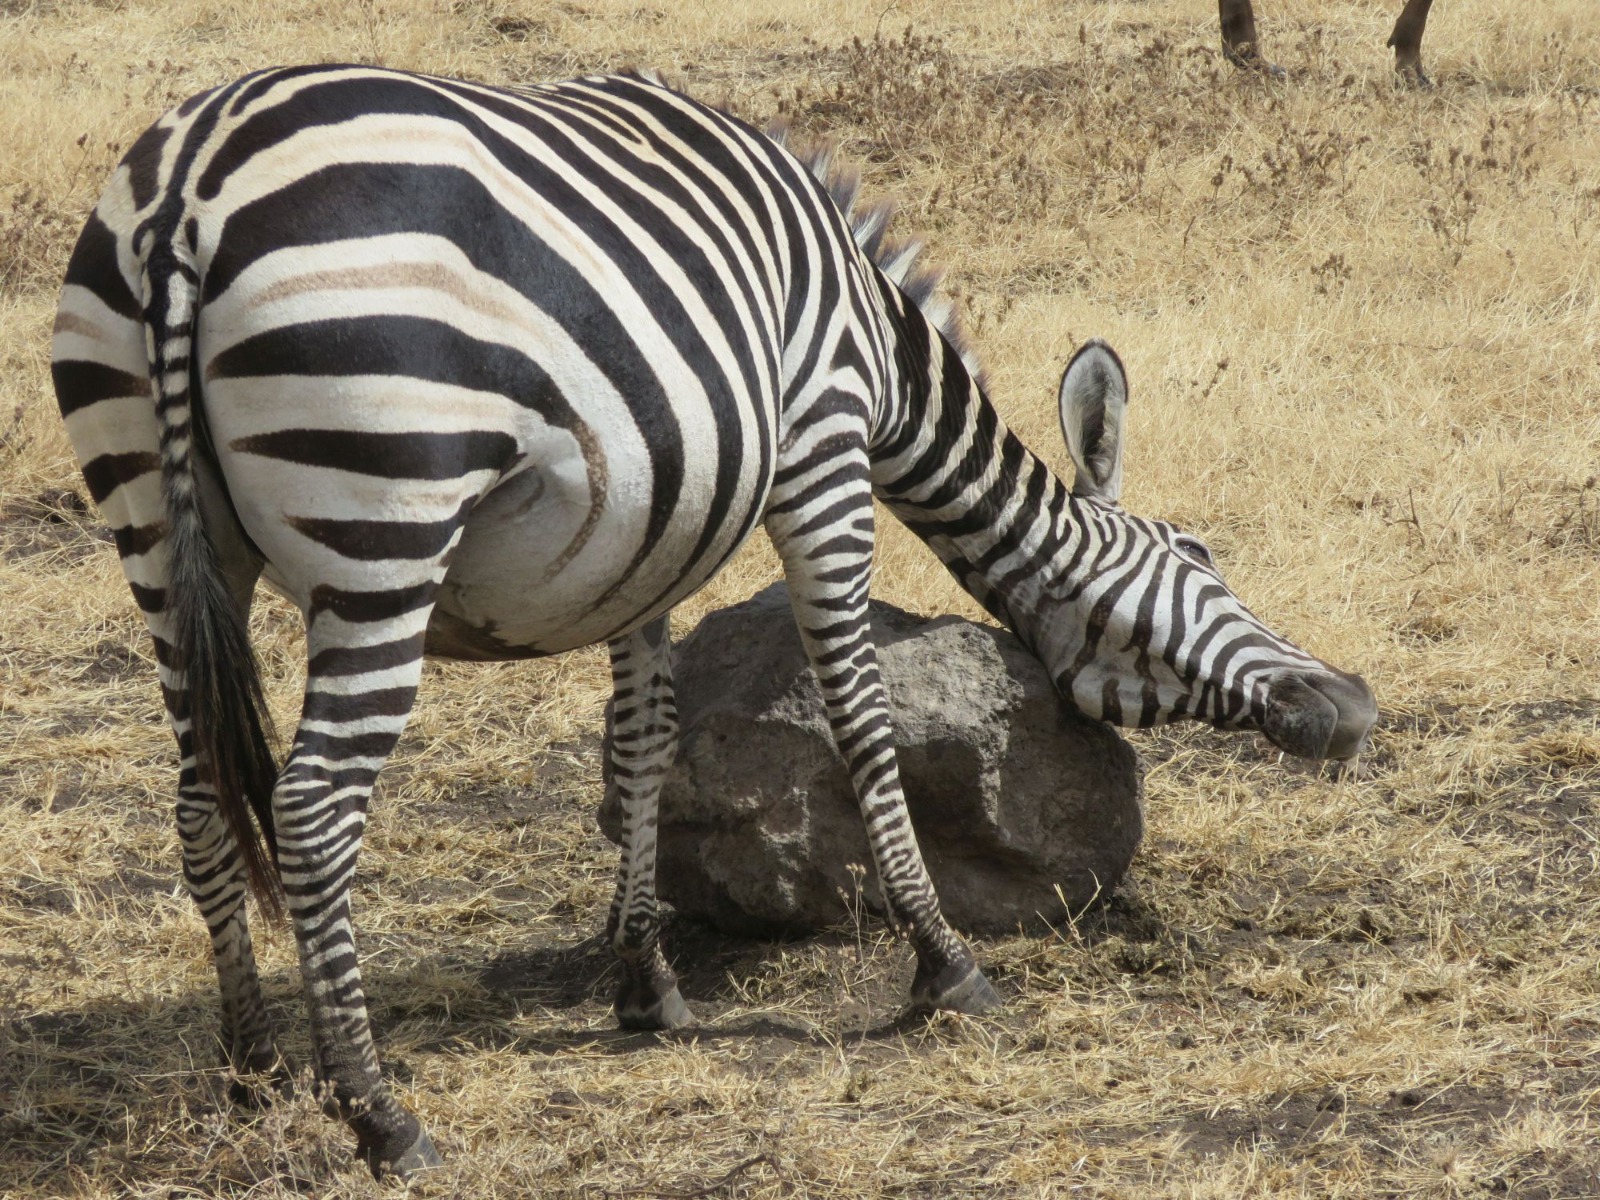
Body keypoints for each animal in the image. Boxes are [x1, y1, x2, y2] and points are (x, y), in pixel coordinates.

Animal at [51, 65, 1377, 1177]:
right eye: (1201, 557)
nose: (1356, 707)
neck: (874, 341)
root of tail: (191, 188)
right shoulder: (821, 447)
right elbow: (858, 714)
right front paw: (944, 961)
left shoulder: (647, 529)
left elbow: (643, 743)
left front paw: (643, 981)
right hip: (385, 511)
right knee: (315, 811)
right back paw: (379, 1116)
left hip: (155, 526)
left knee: (196, 802)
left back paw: (253, 1066)